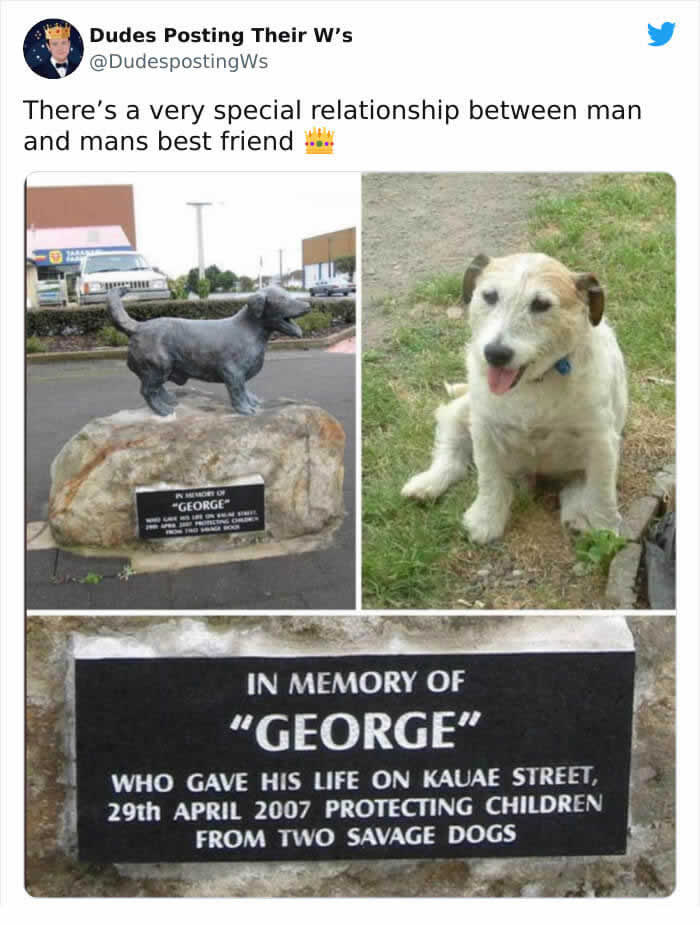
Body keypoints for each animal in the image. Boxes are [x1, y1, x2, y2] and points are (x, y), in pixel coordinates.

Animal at [402, 253, 628, 540]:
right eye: (489, 296)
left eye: (541, 304)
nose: (495, 354)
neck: (534, 383)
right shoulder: (484, 432)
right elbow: (489, 478)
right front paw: (485, 519)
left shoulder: (600, 441)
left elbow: (601, 491)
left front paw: (604, 529)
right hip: (461, 413)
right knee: (452, 454)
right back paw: (428, 483)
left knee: (579, 486)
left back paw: (578, 515)